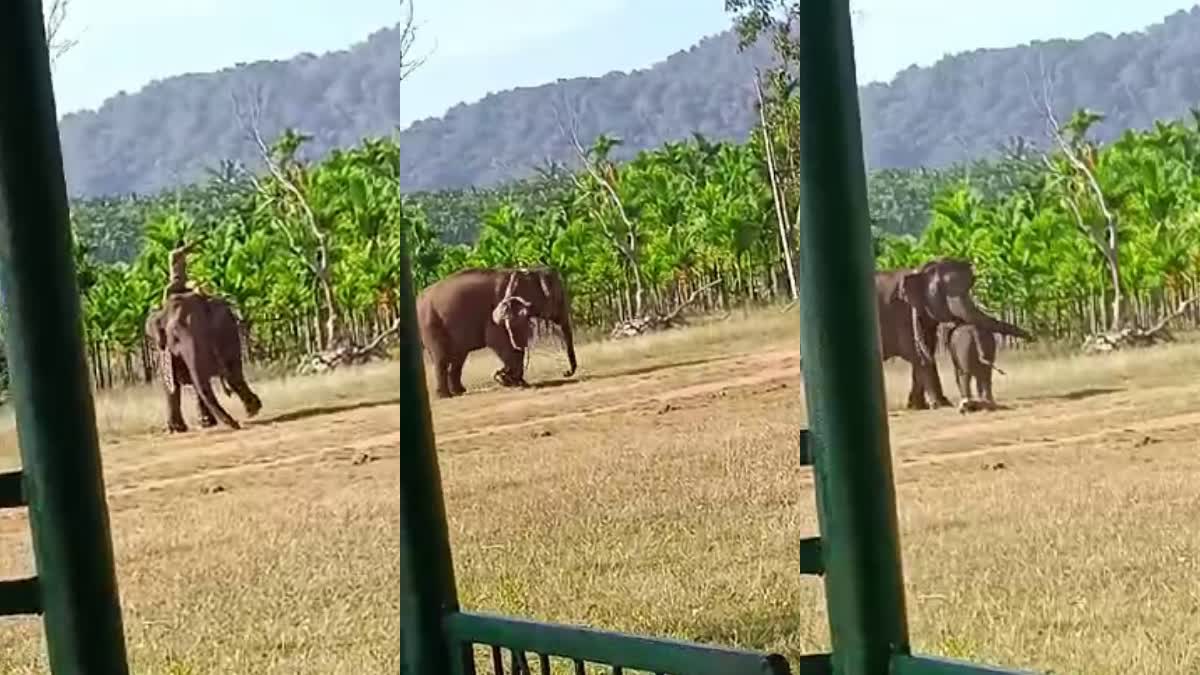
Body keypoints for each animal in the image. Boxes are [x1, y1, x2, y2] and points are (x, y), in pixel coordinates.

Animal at [145, 290, 262, 429]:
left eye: (208, 331)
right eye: (175, 337)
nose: (236, 424)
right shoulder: (163, 348)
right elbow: (169, 378)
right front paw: (176, 429)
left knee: (233, 371)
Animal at [417, 264, 576, 398]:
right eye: (559, 298)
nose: (566, 372)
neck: (524, 272)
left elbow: (517, 341)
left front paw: (514, 381)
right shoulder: (498, 310)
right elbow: (500, 341)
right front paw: (510, 381)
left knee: (458, 358)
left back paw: (460, 391)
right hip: (430, 325)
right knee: (441, 358)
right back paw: (445, 396)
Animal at [873, 254, 1032, 408]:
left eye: (970, 284)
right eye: (943, 289)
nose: (1032, 336)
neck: (920, 270)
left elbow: (925, 351)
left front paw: (920, 406)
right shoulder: (902, 315)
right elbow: (918, 354)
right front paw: (940, 405)